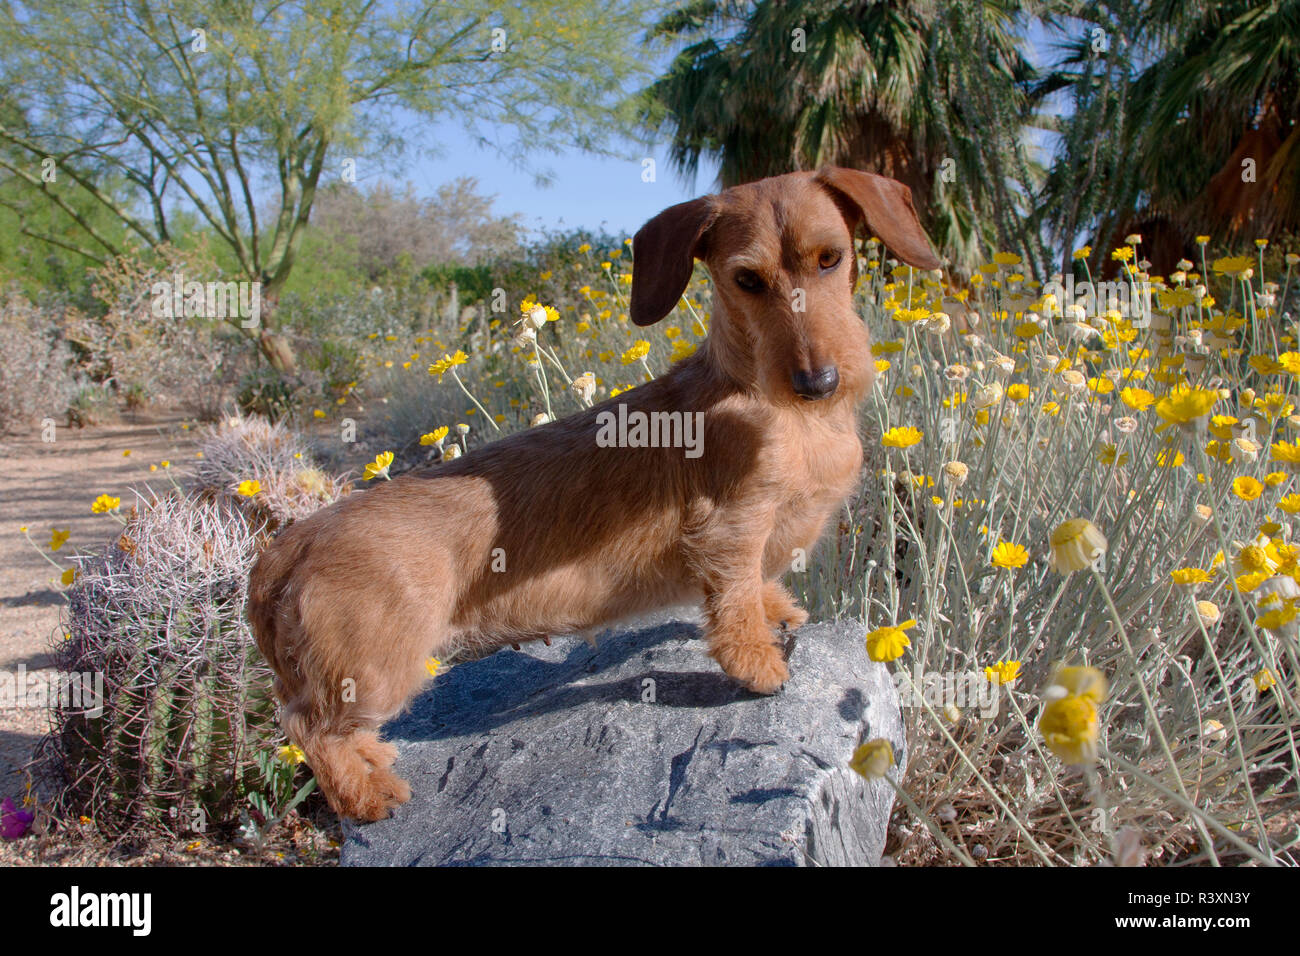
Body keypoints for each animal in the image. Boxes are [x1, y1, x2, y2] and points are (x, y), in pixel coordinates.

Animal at [245, 166, 935, 822]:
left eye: (831, 258)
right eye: (747, 279)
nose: (818, 381)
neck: (766, 402)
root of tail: (285, 549)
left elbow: (758, 585)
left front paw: (778, 611)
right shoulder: (731, 528)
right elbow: (735, 598)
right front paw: (758, 664)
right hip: (376, 670)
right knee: (307, 727)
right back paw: (364, 794)